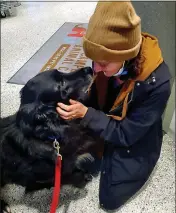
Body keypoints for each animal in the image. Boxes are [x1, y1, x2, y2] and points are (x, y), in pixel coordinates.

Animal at [0, 68, 102, 213]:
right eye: (61, 84)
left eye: (61, 71)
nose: (90, 69)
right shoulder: (44, 176)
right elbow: (72, 175)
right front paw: (83, 178)